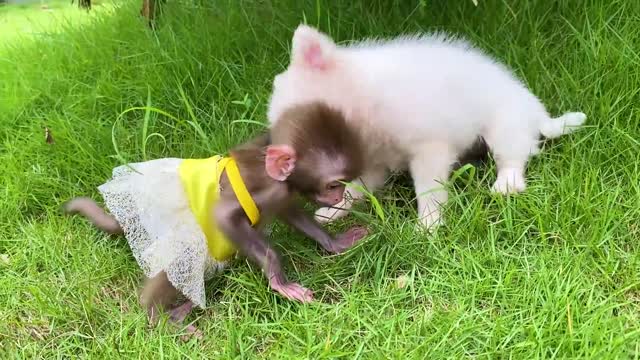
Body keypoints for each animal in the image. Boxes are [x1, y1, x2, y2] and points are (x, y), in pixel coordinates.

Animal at [65, 102, 368, 338]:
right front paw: (278, 281)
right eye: (333, 185)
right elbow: (223, 216)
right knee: (180, 257)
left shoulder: (283, 193)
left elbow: (291, 213)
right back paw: (157, 316)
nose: (339, 195)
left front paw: (334, 243)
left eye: (344, 182)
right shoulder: (270, 188)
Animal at [268, 25, 588, 229]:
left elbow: (428, 191)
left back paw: (506, 183)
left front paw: (428, 225)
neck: (368, 104)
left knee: (513, 156)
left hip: (504, 126)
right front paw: (334, 211)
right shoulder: (372, 165)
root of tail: (537, 114)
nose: (276, 165)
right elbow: (355, 189)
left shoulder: (429, 150)